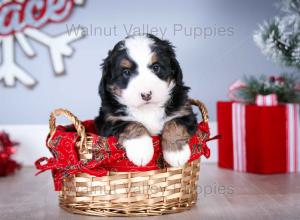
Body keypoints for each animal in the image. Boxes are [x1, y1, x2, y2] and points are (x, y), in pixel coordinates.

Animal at [94, 34, 197, 168]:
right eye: (126, 72)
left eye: (156, 67)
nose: (146, 94)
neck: (148, 109)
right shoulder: (109, 120)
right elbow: (132, 124)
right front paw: (141, 151)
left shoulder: (184, 111)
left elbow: (174, 124)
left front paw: (176, 154)